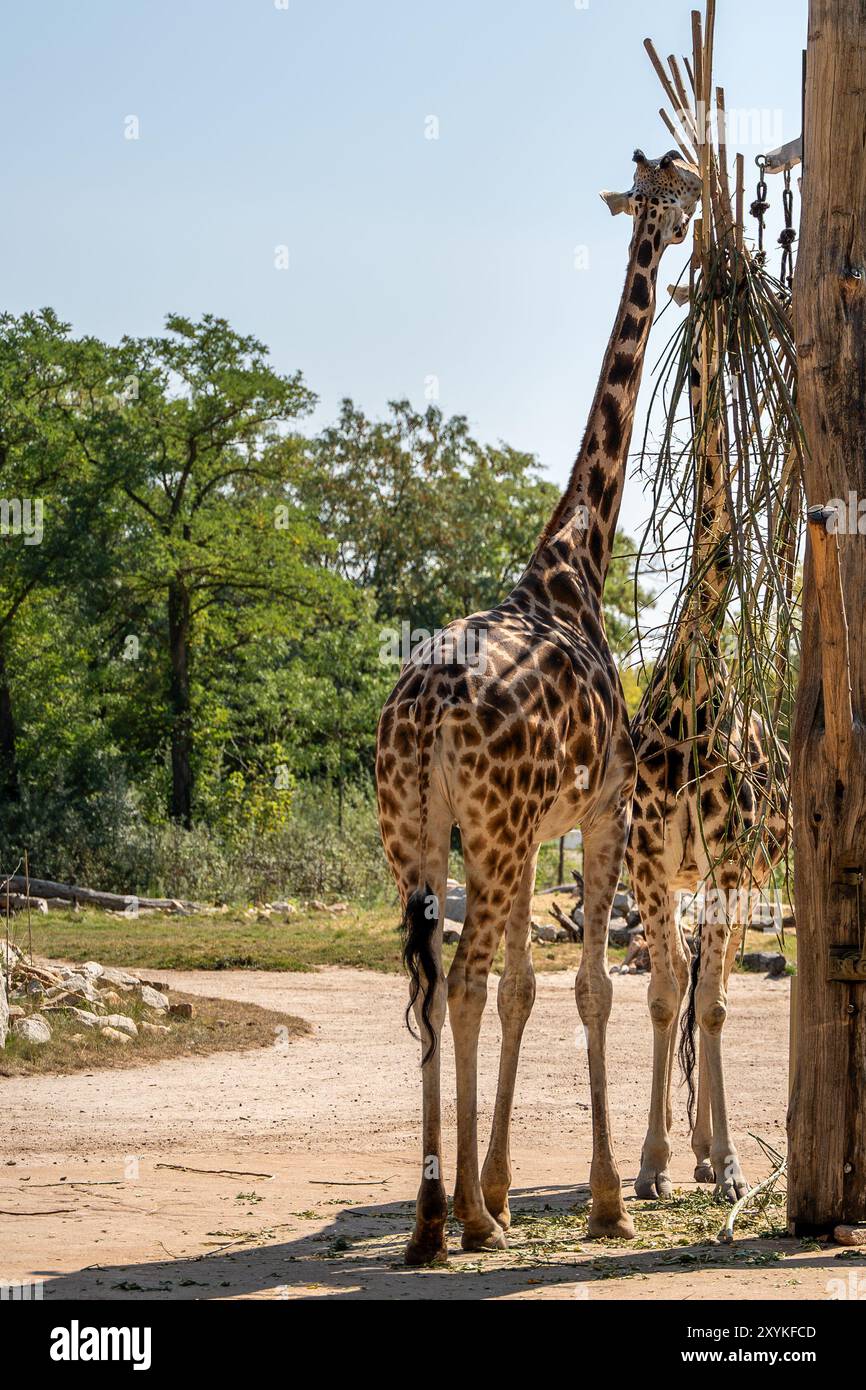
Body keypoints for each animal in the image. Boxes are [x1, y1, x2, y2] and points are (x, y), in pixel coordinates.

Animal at [375, 146, 700, 1267]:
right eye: (674, 187)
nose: (696, 209)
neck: (574, 563)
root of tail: (425, 715)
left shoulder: (526, 830)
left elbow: (525, 987)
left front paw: (506, 1189)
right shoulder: (598, 812)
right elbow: (586, 985)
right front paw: (601, 1199)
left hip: (418, 832)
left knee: (435, 983)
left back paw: (439, 1217)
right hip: (493, 830)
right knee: (464, 979)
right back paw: (454, 1220)